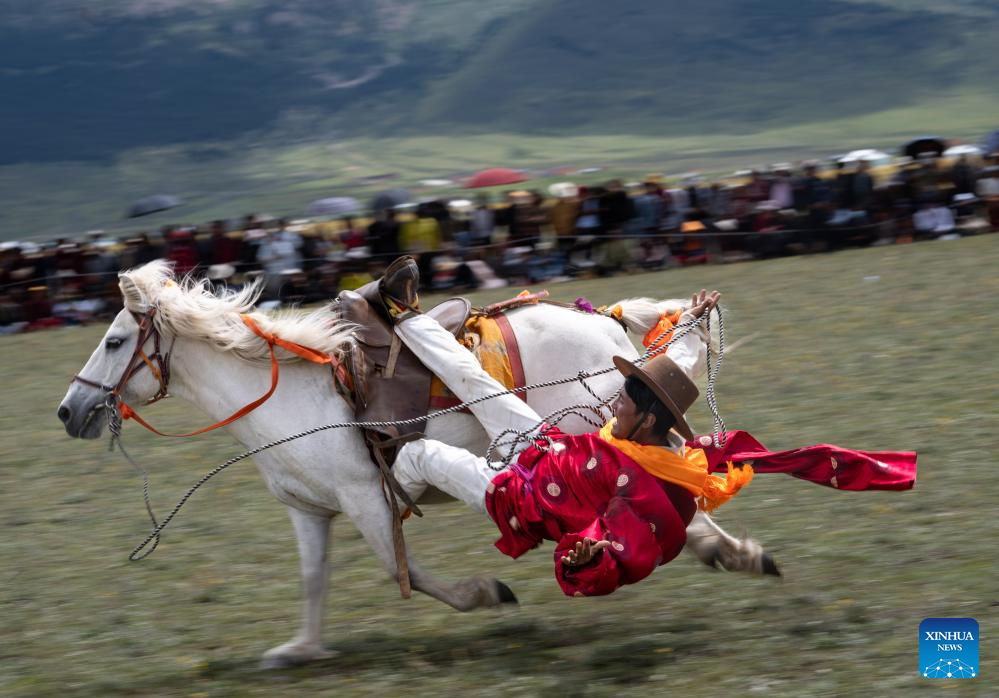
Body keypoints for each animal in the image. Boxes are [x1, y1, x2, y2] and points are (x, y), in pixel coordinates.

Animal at [56, 260, 772, 664]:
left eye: (114, 341)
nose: (68, 411)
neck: (288, 396)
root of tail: (603, 322)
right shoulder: (310, 510)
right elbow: (313, 580)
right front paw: (301, 650)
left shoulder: (367, 499)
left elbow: (407, 574)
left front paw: (486, 593)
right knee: (670, 476)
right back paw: (730, 550)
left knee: (667, 473)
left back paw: (727, 548)